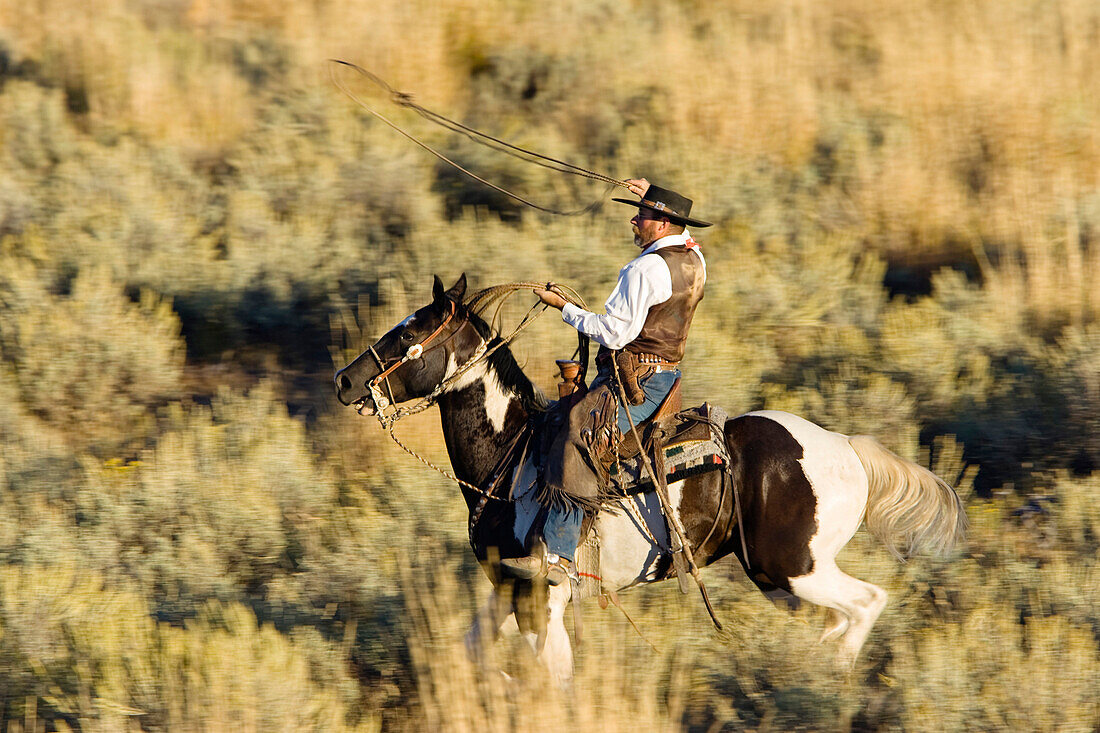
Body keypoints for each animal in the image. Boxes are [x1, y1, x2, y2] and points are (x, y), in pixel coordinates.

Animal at [332, 272, 963, 677]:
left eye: (409, 335)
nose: (344, 379)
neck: (513, 455)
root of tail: (848, 450)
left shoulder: (541, 592)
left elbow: (554, 670)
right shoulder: (508, 588)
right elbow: (477, 651)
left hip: (792, 566)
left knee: (867, 602)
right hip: (786, 572)